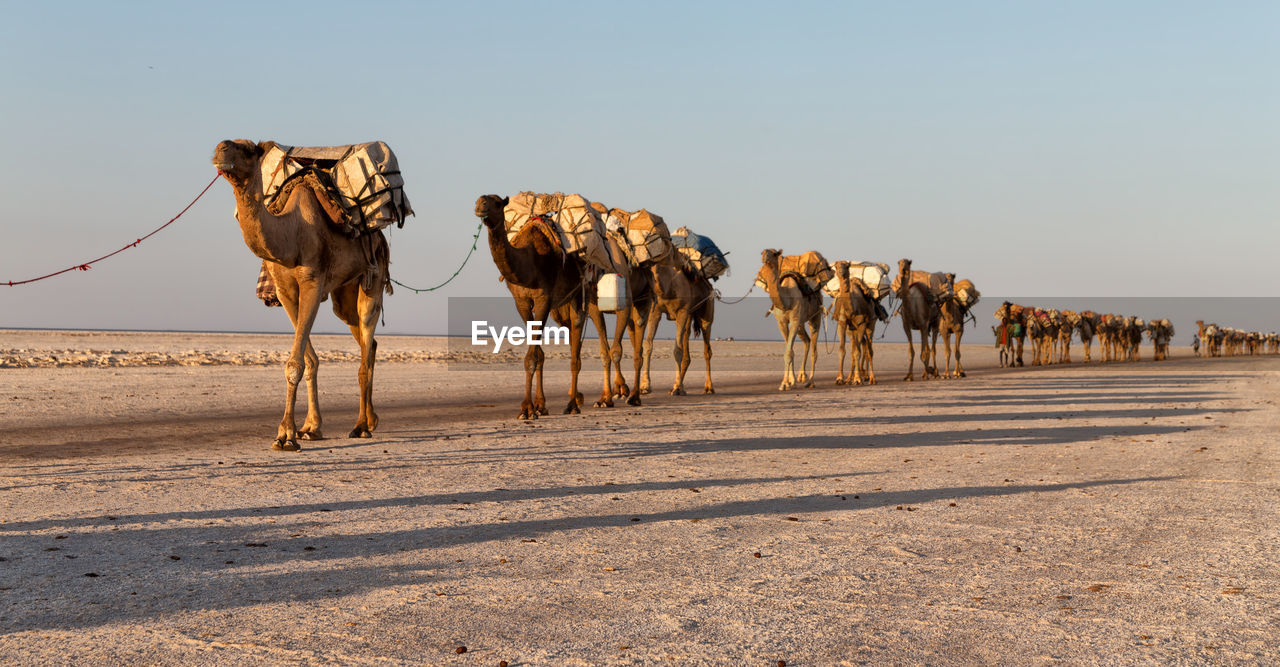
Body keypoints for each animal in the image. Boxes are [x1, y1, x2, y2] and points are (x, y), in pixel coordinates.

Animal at [213, 140, 389, 453]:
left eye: (248, 149)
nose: (221, 148)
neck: (290, 235)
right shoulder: (285, 292)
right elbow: (309, 360)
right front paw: (310, 428)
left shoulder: (312, 283)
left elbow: (295, 363)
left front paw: (285, 435)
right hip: (344, 295)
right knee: (367, 342)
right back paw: (371, 420)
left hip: (373, 279)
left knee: (365, 346)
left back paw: (360, 426)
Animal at [478, 194, 622, 419]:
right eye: (482, 199)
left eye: (497, 203)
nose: (480, 204)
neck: (527, 262)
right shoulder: (521, 301)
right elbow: (538, 354)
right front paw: (538, 405)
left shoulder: (544, 299)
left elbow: (532, 357)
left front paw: (527, 409)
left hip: (582, 293)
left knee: (576, 350)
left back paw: (573, 404)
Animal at [752, 247, 824, 386]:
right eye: (762, 252)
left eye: (775, 254)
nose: (765, 258)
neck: (786, 300)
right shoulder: (781, 322)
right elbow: (789, 350)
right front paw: (791, 380)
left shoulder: (795, 320)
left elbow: (789, 352)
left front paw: (785, 384)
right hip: (801, 322)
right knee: (807, 341)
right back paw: (802, 376)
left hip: (816, 316)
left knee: (814, 349)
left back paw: (811, 381)